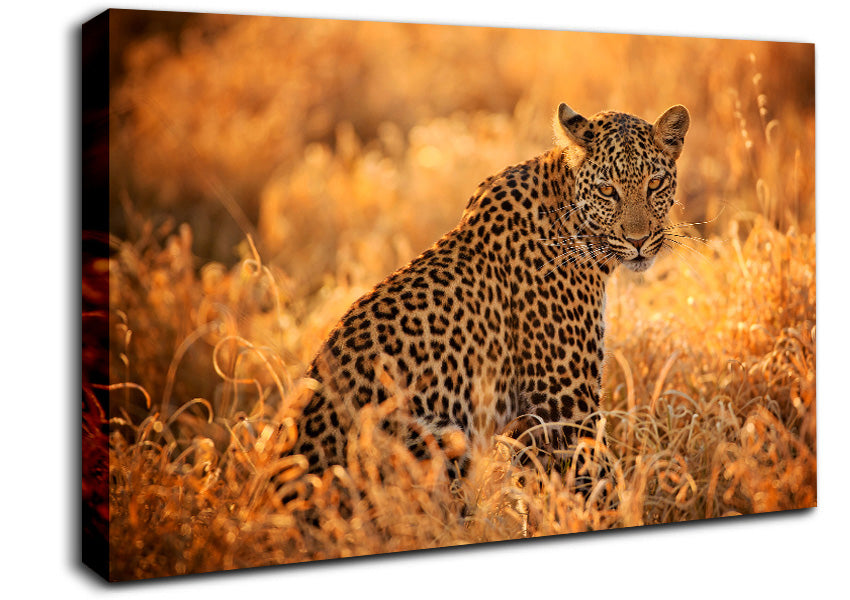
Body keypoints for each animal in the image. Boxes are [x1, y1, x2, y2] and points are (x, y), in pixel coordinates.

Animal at [290, 102, 690, 486]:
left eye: (655, 184)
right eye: (608, 190)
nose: (638, 241)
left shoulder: (530, 420)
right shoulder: (565, 404)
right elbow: (597, 483)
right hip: (441, 439)